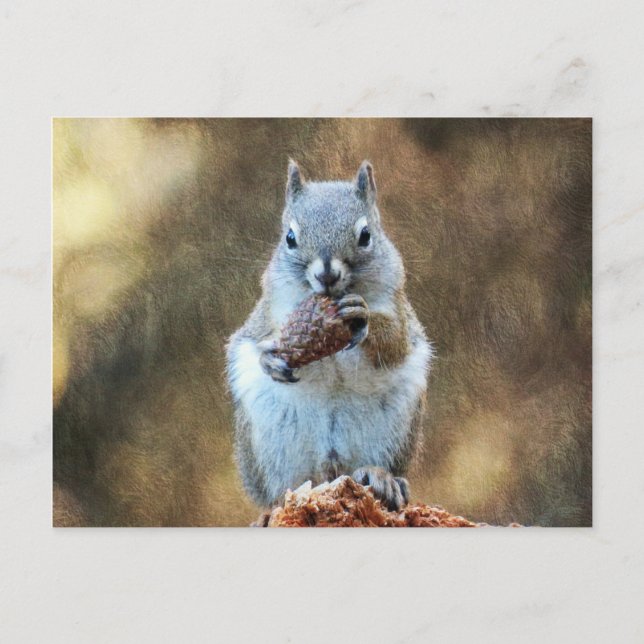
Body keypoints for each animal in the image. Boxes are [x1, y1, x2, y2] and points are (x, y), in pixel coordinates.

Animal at [226, 160, 431, 511]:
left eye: (365, 235)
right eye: (289, 237)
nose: (326, 274)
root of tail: (331, 469)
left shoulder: (398, 308)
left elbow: (394, 343)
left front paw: (362, 316)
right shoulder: (267, 313)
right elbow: (255, 337)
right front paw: (270, 359)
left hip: (395, 427)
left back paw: (382, 478)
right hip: (269, 440)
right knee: (285, 487)